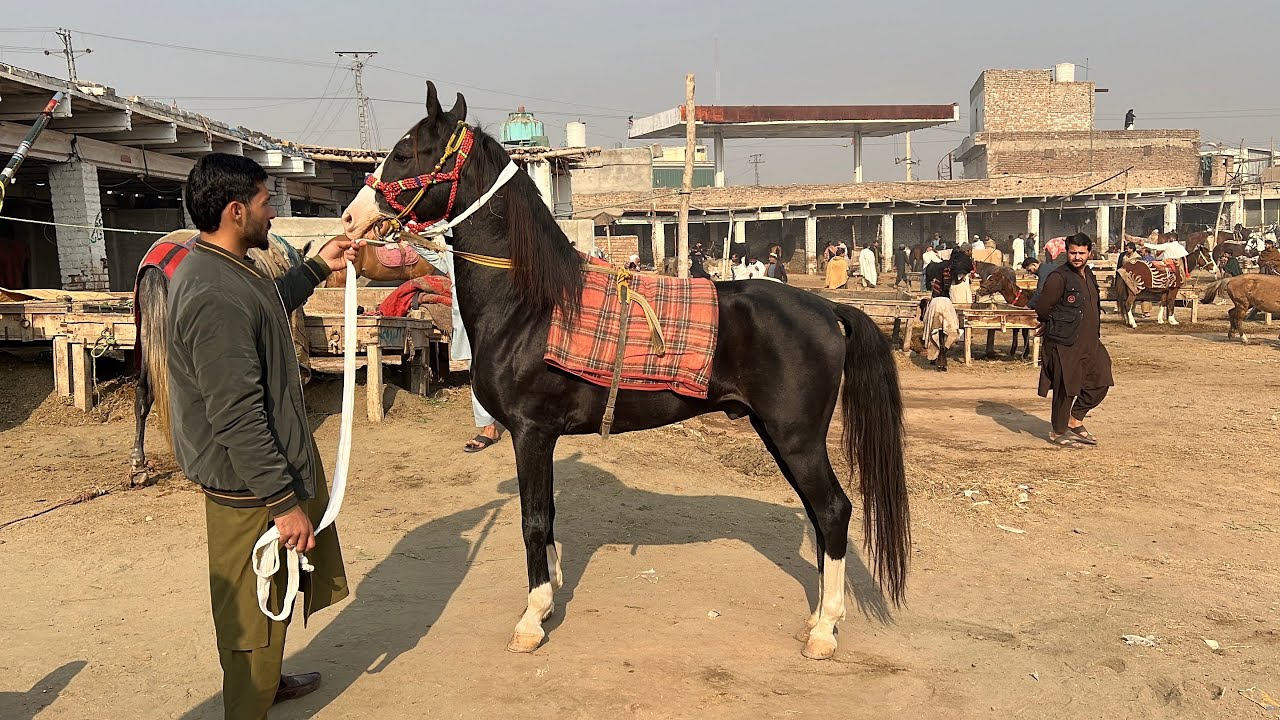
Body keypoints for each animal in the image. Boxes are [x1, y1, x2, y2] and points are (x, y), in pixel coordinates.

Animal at [340, 83, 910, 660]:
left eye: (406, 152)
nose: (349, 219)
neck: (531, 306)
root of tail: (825, 308)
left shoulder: (530, 433)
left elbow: (532, 521)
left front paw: (532, 617)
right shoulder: (540, 438)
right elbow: (547, 518)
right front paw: (548, 599)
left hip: (797, 438)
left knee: (834, 512)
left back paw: (824, 629)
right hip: (778, 435)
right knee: (819, 517)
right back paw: (818, 618)